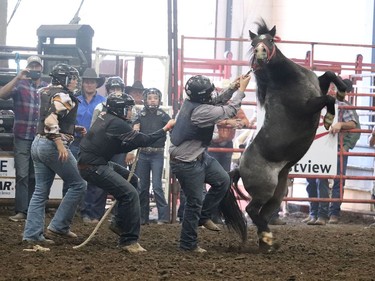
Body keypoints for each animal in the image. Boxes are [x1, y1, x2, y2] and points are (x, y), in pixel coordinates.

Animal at [229, 19, 350, 250]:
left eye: (269, 39)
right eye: (253, 42)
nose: (259, 52)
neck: (287, 80)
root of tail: (239, 167)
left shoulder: (318, 86)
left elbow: (329, 75)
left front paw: (341, 90)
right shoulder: (307, 107)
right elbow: (327, 100)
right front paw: (329, 119)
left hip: (277, 194)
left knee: (263, 214)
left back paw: (266, 240)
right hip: (265, 190)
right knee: (251, 210)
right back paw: (267, 238)